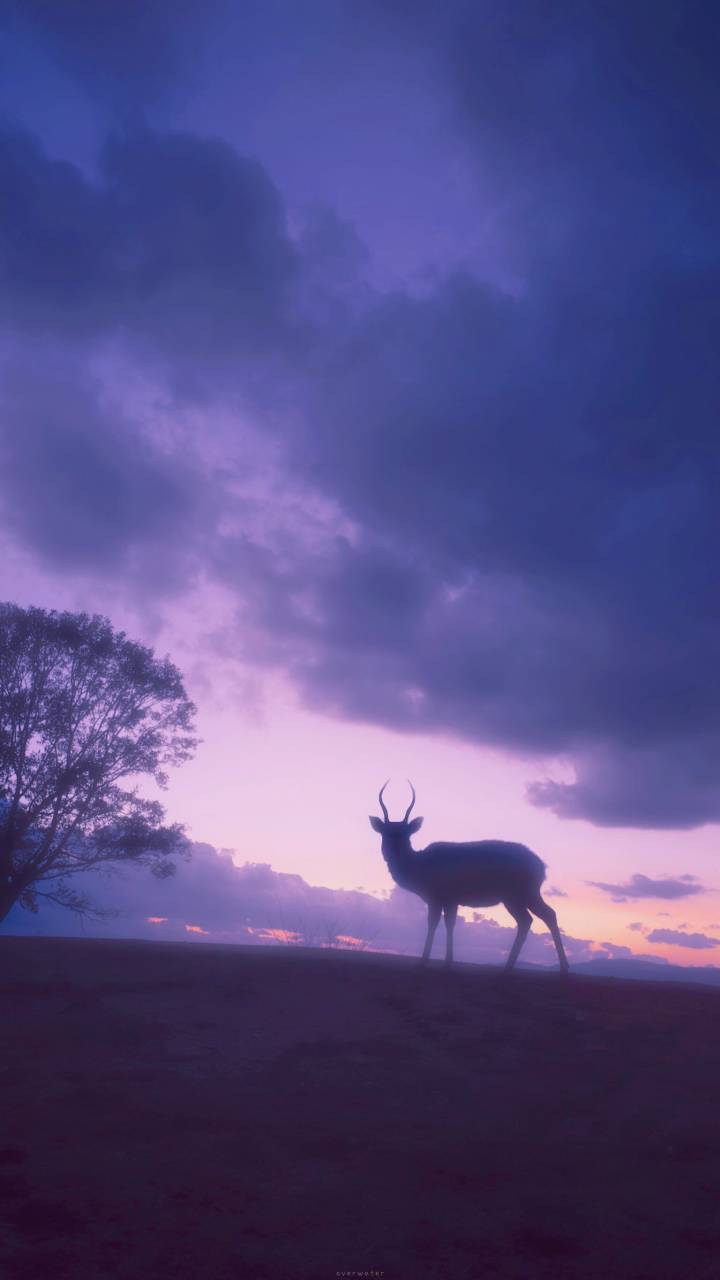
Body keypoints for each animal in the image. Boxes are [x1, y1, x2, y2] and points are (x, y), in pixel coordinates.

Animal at [368, 778, 566, 967]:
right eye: (385, 832)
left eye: (406, 834)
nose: (392, 849)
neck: (420, 868)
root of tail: (542, 867)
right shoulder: (449, 899)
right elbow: (449, 924)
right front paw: (447, 961)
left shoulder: (438, 896)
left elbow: (434, 924)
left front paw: (425, 961)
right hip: (514, 897)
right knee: (529, 920)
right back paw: (509, 967)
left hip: (522, 892)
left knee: (545, 915)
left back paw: (561, 967)